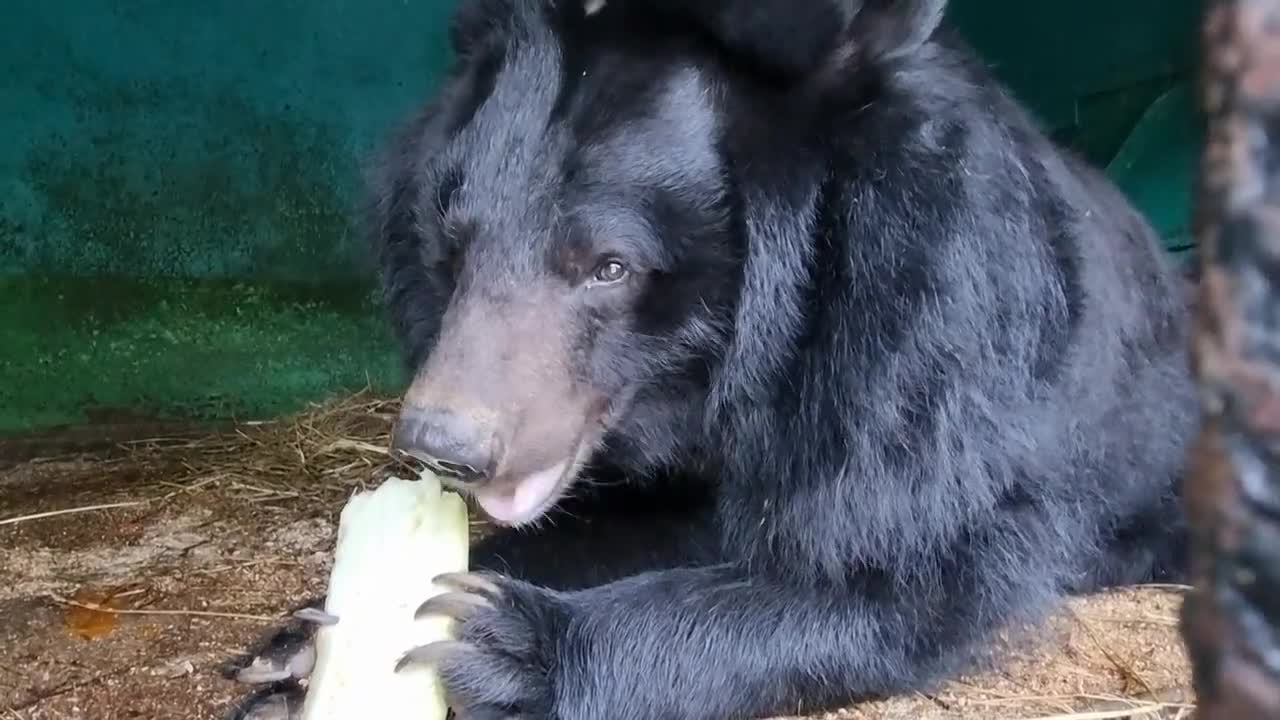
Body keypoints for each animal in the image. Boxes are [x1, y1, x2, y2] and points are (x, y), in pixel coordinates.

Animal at [227, 0, 1198, 712]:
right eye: (454, 244)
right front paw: (302, 644)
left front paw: (502, 646)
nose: (443, 444)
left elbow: (901, 576)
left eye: (609, 267)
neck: (719, 383)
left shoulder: (927, 353)